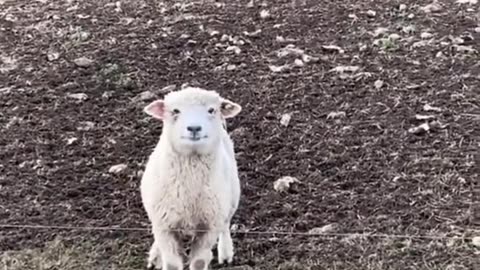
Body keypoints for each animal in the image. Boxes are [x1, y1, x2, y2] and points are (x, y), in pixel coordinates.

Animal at [139, 87, 244, 270]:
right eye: (175, 111)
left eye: (211, 110)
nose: (194, 128)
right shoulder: (164, 225)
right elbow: (171, 263)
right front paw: (159, 256)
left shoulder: (209, 227)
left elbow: (199, 262)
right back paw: (155, 255)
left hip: (230, 201)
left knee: (225, 225)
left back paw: (226, 253)